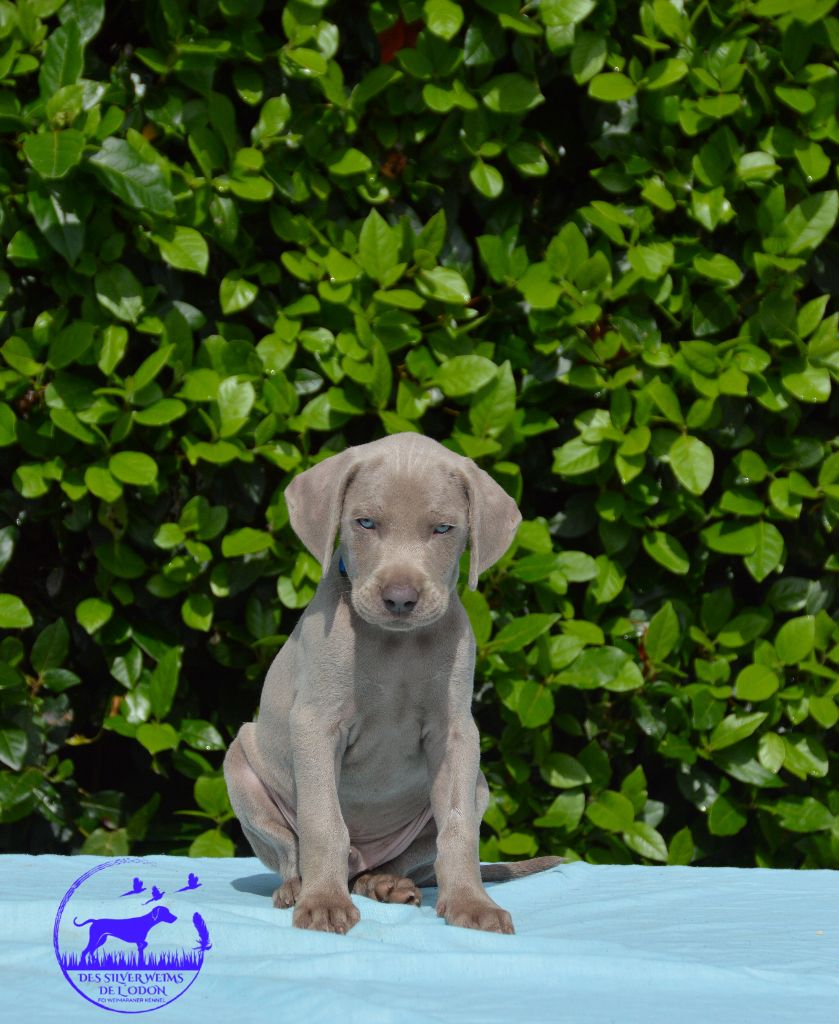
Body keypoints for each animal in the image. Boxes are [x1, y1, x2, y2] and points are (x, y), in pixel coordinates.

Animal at [226, 428, 561, 933]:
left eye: (442, 529)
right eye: (365, 523)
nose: (400, 599)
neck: (396, 646)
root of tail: (359, 864)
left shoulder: (457, 733)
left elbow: (459, 828)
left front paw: (472, 904)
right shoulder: (317, 723)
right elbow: (323, 821)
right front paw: (323, 902)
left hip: (479, 785)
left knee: (405, 859)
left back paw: (385, 882)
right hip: (239, 765)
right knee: (291, 850)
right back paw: (298, 888)